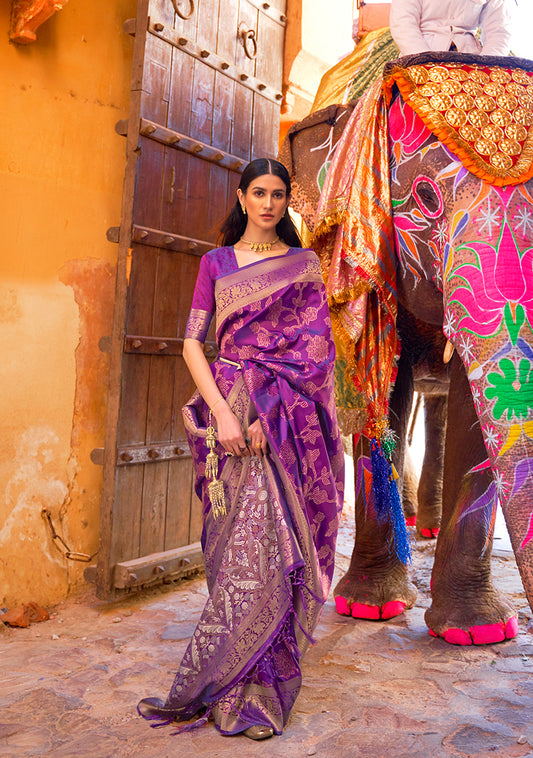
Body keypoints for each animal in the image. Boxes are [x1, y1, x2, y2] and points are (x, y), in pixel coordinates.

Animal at [280, 50, 532, 648]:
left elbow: (473, 406)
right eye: (426, 199)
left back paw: (429, 527)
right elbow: (382, 389)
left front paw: (478, 634)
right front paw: (368, 608)